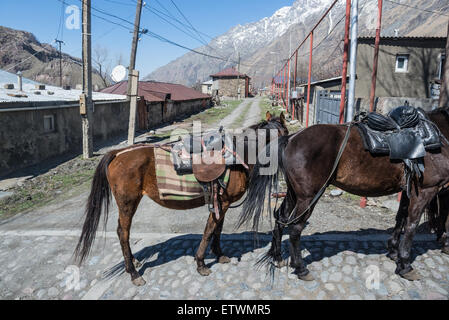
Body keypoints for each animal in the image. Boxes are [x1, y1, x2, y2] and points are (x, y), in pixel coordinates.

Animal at [73, 112, 288, 284]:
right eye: (286, 133)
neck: (239, 155)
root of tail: (118, 153)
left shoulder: (222, 202)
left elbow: (217, 230)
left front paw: (219, 255)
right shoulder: (223, 203)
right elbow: (209, 230)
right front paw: (201, 263)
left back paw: (133, 261)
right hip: (128, 203)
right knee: (123, 233)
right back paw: (134, 273)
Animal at [240, 114, 449, 282]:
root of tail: (291, 138)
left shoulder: (408, 191)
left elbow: (401, 219)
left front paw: (393, 251)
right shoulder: (426, 191)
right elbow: (412, 225)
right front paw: (405, 265)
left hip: (295, 194)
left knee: (281, 218)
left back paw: (277, 257)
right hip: (308, 197)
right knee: (295, 228)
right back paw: (300, 268)